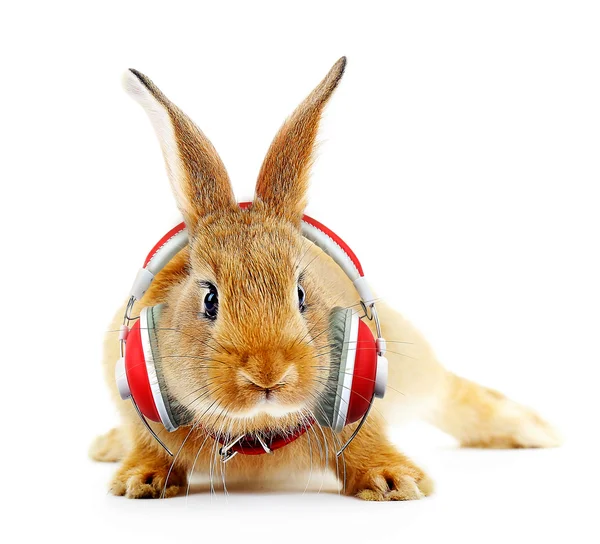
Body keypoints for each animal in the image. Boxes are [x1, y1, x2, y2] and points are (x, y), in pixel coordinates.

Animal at [90, 57, 564, 500]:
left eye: (301, 293)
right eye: (209, 300)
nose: (268, 373)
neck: (257, 431)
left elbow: (366, 445)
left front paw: (395, 481)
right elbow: (148, 446)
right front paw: (139, 481)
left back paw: (534, 429)